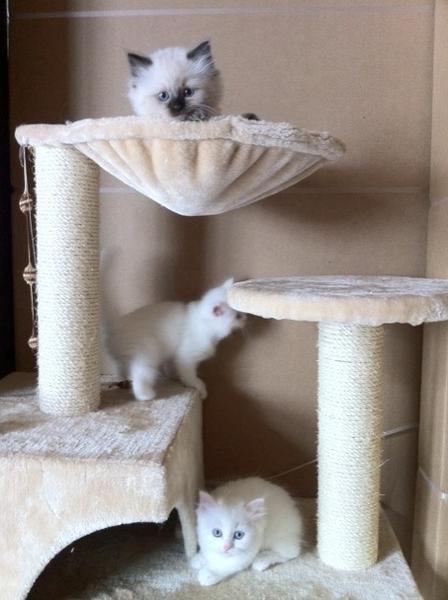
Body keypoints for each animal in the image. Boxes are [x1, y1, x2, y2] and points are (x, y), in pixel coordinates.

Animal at [103, 279, 245, 401]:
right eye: (238, 316)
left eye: (241, 313)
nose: (245, 317)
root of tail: (114, 329)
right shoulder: (186, 357)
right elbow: (190, 376)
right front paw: (200, 388)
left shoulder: (174, 356)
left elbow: (172, 367)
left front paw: (175, 377)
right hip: (147, 353)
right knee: (140, 375)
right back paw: (146, 395)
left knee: (123, 371)